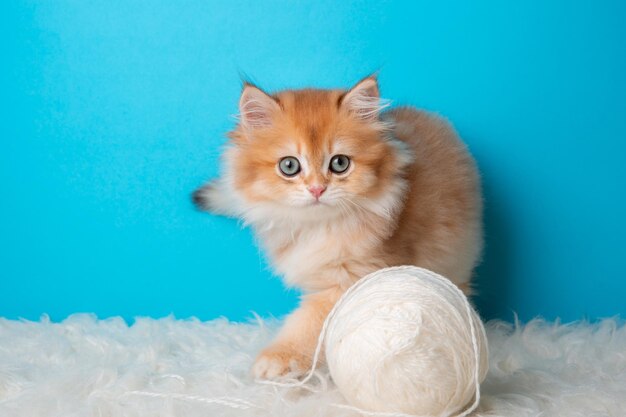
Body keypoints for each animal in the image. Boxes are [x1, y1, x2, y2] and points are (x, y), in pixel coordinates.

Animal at [193, 75, 480, 376]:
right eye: (289, 166)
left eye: (339, 163)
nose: (317, 189)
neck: (317, 227)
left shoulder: (352, 280)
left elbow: (308, 323)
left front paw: (279, 358)